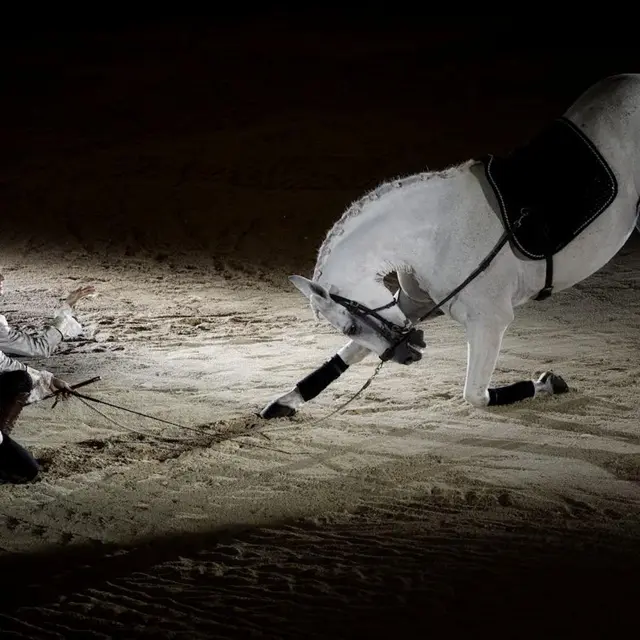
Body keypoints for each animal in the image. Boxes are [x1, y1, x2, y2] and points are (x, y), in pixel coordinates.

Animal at [260, 73, 640, 420]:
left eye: (351, 325)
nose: (409, 355)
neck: (433, 236)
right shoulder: (409, 307)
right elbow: (347, 356)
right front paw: (285, 401)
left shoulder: (490, 322)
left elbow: (476, 396)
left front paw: (546, 384)